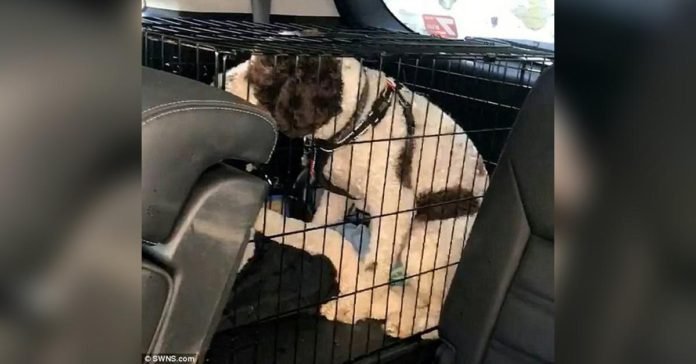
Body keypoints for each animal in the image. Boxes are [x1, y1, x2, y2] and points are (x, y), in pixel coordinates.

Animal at [226, 55, 486, 336]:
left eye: (263, 71)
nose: (223, 77)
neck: (361, 120)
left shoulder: (395, 203)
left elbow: (374, 269)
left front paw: (353, 306)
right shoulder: (338, 192)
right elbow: (323, 225)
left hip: (425, 243)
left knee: (438, 307)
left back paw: (408, 325)